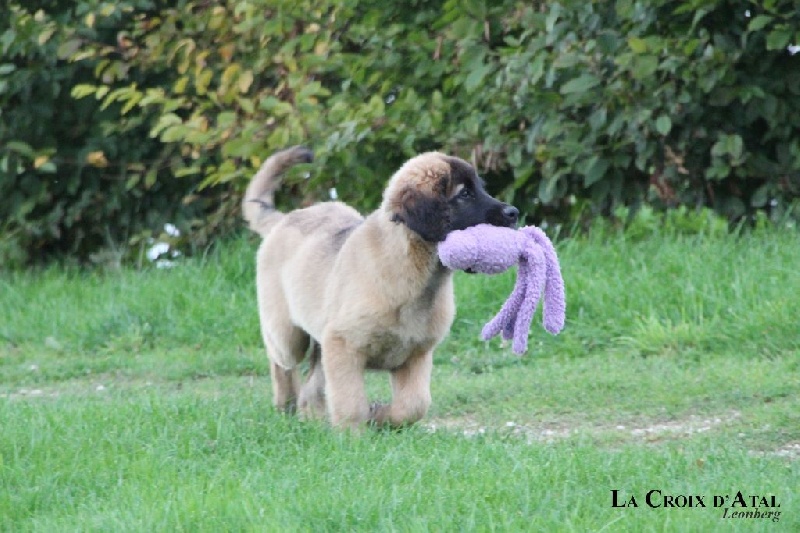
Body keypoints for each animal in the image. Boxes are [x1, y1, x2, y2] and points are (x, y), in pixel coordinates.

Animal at [242, 146, 519, 428]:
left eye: (481, 188)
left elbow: (414, 405)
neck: (416, 274)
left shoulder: (415, 353)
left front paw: (380, 416)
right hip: (288, 334)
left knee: (312, 384)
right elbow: (350, 402)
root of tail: (285, 218)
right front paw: (352, 434)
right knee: (281, 362)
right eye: (464, 194)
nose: (514, 213)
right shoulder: (344, 345)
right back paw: (285, 406)